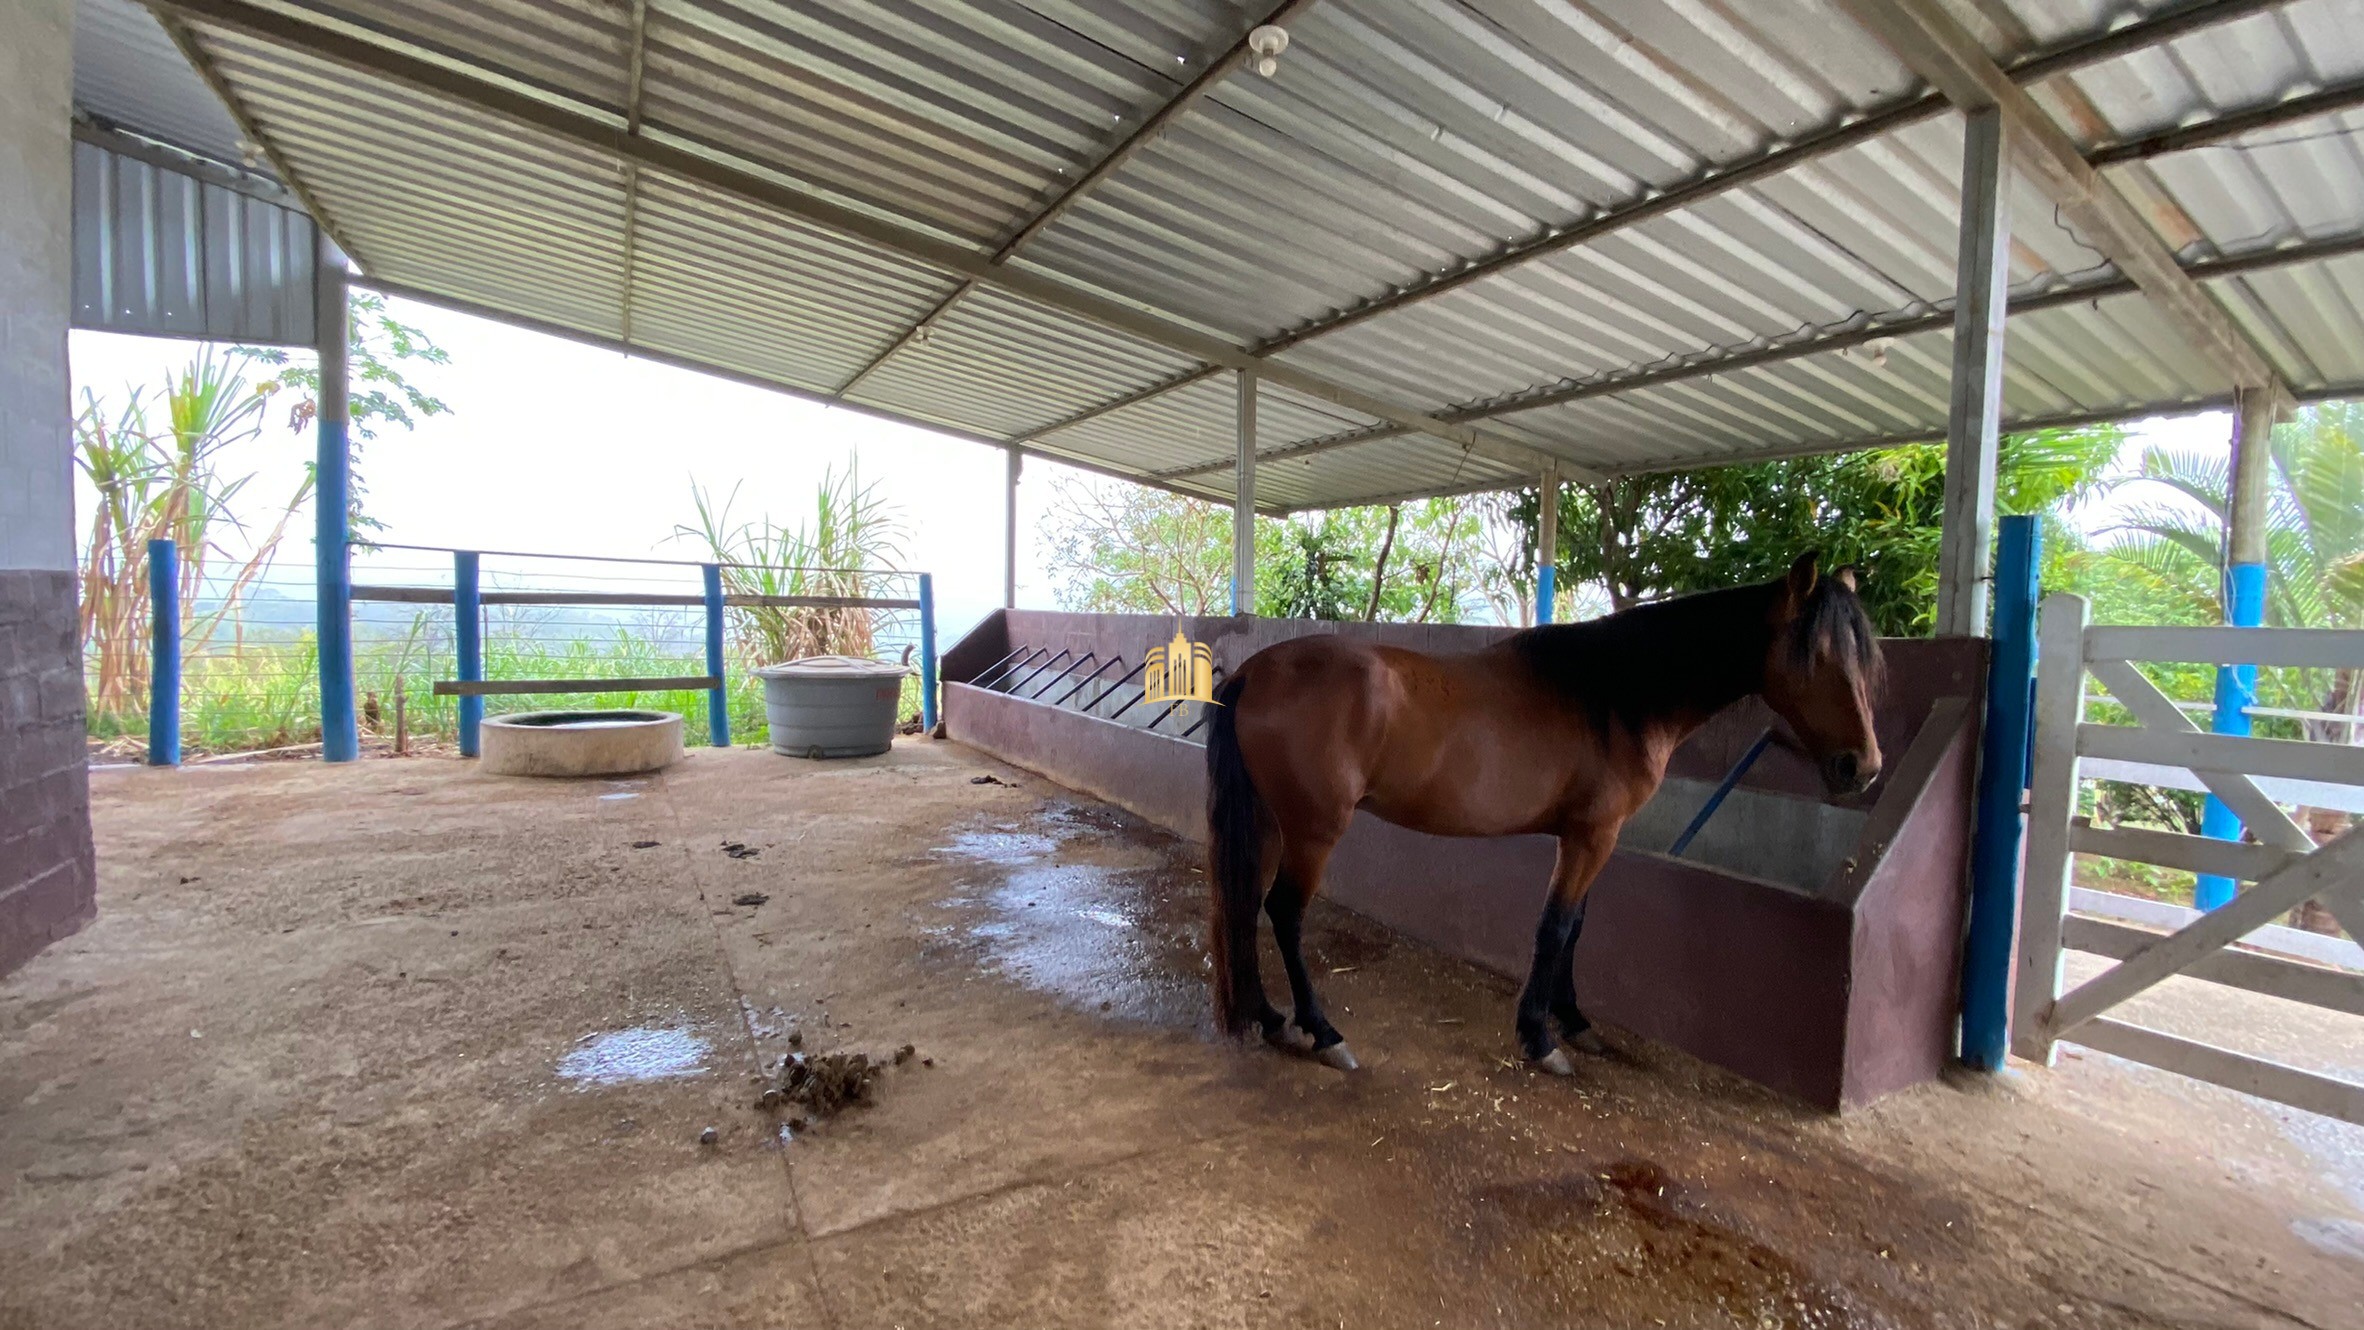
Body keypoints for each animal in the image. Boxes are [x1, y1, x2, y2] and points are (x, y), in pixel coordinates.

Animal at [1200, 552, 1881, 1072]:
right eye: (1817, 656)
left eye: (1864, 659)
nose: (1863, 766)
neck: (1615, 693)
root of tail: (1254, 672)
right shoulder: (1593, 835)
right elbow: (1554, 927)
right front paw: (1540, 1037)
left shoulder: (1588, 835)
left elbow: (1576, 925)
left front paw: (1574, 1021)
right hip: (1315, 831)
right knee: (1284, 911)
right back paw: (1324, 1032)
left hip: (1269, 822)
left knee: (1246, 901)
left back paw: (1268, 1017)